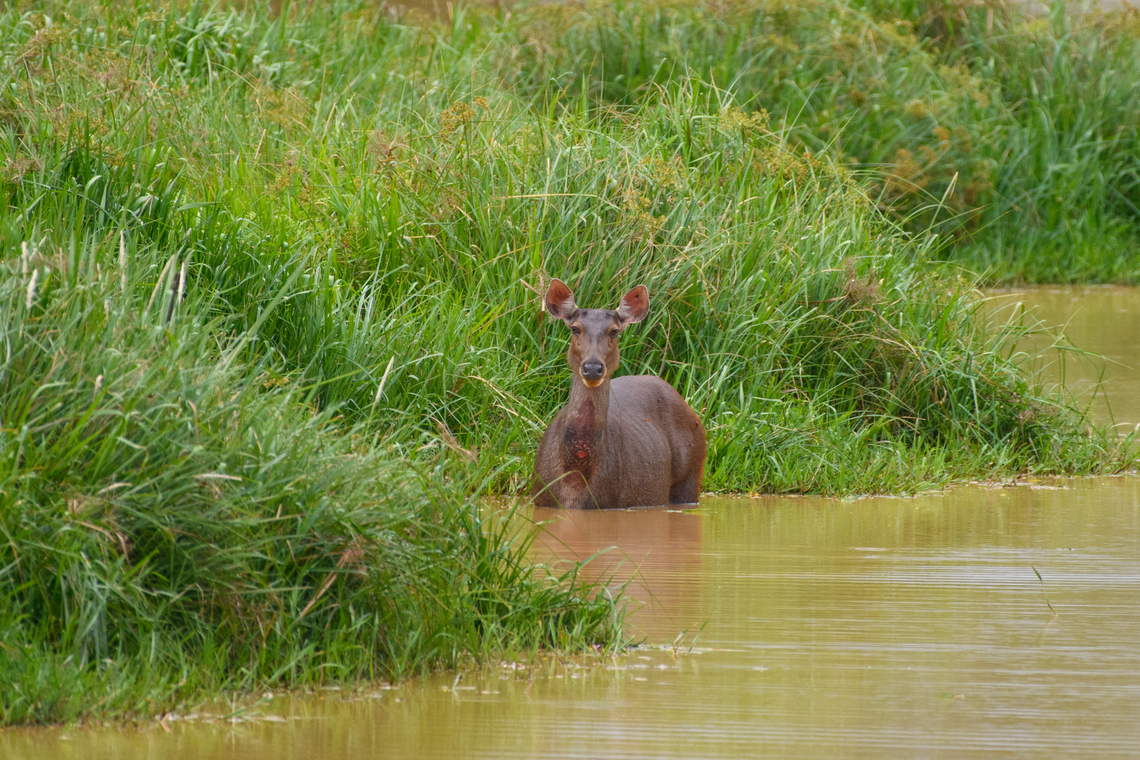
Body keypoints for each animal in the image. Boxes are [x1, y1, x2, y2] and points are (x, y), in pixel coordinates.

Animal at [531, 279, 707, 510]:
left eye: (614, 331)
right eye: (575, 328)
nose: (593, 367)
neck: (574, 479)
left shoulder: (611, 502)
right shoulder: (540, 498)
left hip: (691, 477)